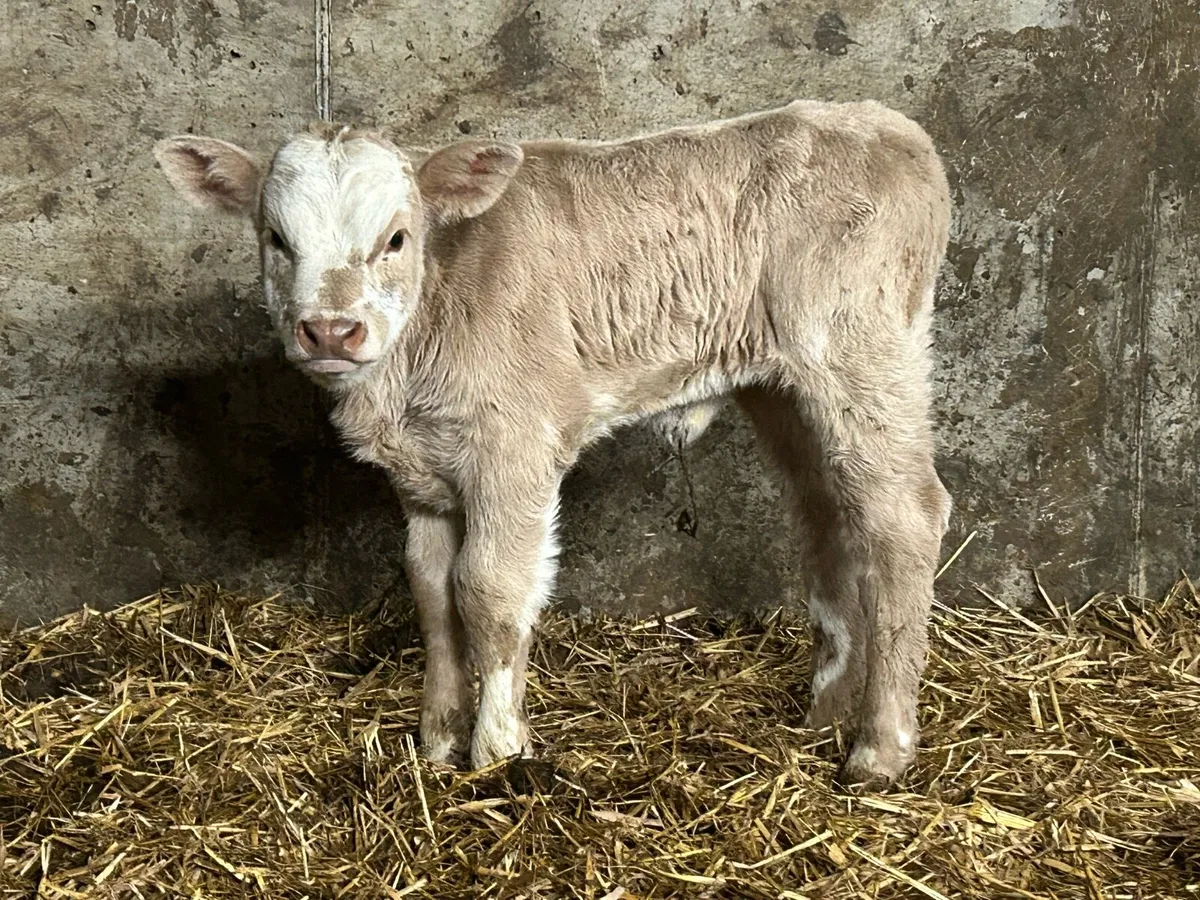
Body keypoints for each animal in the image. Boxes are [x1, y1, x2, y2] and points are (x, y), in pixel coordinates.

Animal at [154, 98, 953, 788]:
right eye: (276, 240)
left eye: (396, 239)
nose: (329, 331)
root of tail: (882, 123)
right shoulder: (421, 480)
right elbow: (430, 592)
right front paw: (436, 741)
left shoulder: (515, 451)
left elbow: (487, 592)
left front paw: (498, 750)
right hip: (784, 390)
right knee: (832, 517)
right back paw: (821, 718)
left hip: (861, 354)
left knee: (906, 515)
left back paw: (879, 749)